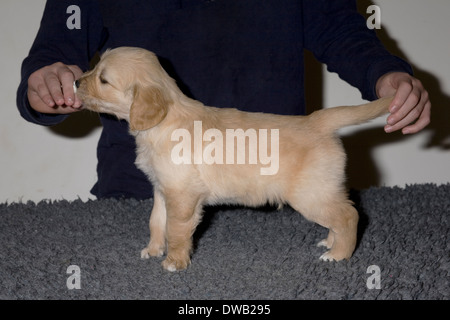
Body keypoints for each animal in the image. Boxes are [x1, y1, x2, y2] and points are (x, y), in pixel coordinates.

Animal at [75, 46, 392, 272]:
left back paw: (338, 254)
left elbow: (176, 230)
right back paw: (330, 240)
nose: (76, 81)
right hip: (323, 190)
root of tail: (318, 121)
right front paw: (153, 249)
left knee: (349, 215)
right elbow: (157, 221)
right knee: (341, 214)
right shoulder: (163, 189)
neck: (164, 122)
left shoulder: (183, 195)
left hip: (310, 194)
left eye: (103, 79)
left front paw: (174, 261)